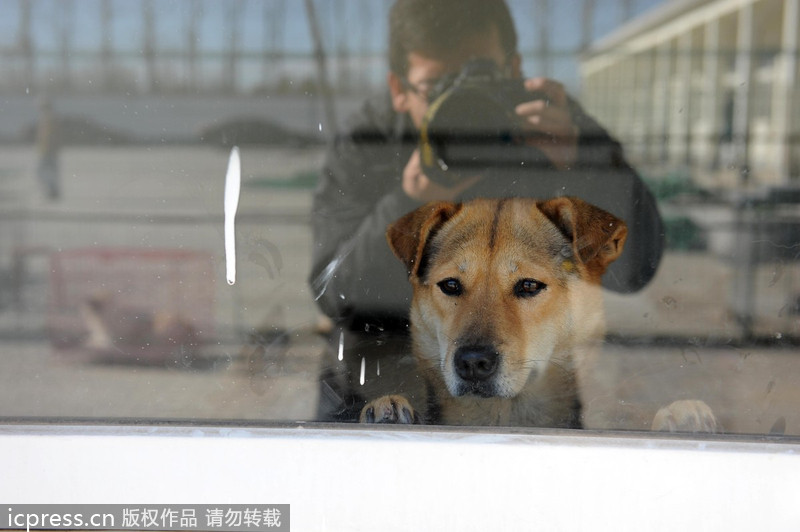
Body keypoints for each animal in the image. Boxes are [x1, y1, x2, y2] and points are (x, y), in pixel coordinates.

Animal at [362, 196, 720, 432]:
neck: (505, 415)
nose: (473, 363)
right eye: (450, 285)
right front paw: (385, 410)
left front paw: (680, 416)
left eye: (529, 285)